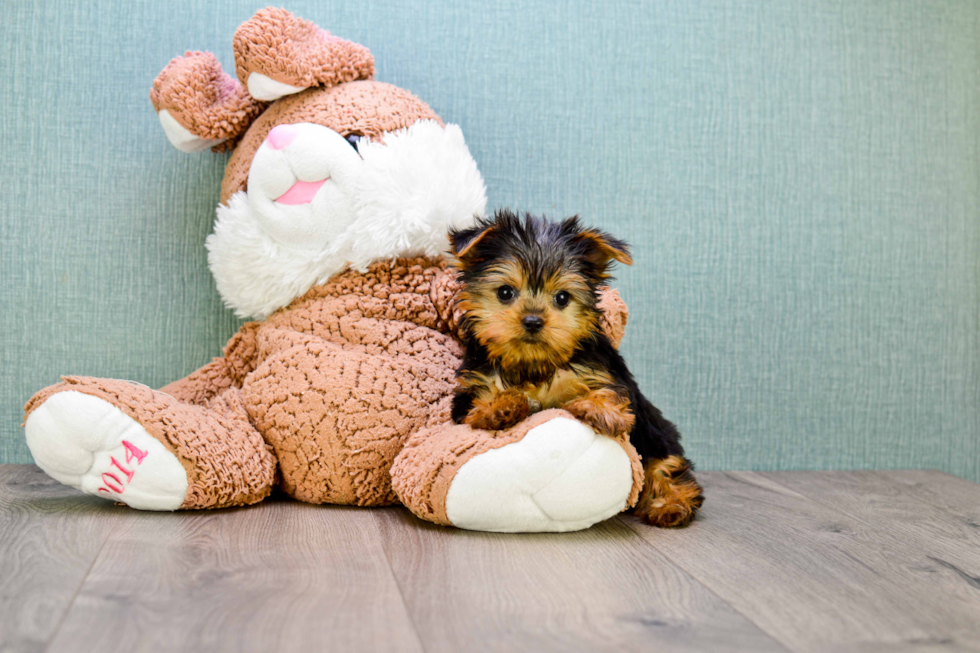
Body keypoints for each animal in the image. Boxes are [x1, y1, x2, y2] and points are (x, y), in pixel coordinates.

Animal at [452, 211, 704, 528]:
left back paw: (671, 505)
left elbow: (609, 391)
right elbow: (482, 400)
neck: (534, 364)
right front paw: (499, 408)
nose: (533, 320)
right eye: (505, 292)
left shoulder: (601, 371)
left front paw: (601, 411)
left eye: (562, 298)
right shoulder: (470, 388)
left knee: (666, 467)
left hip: (656, 435)